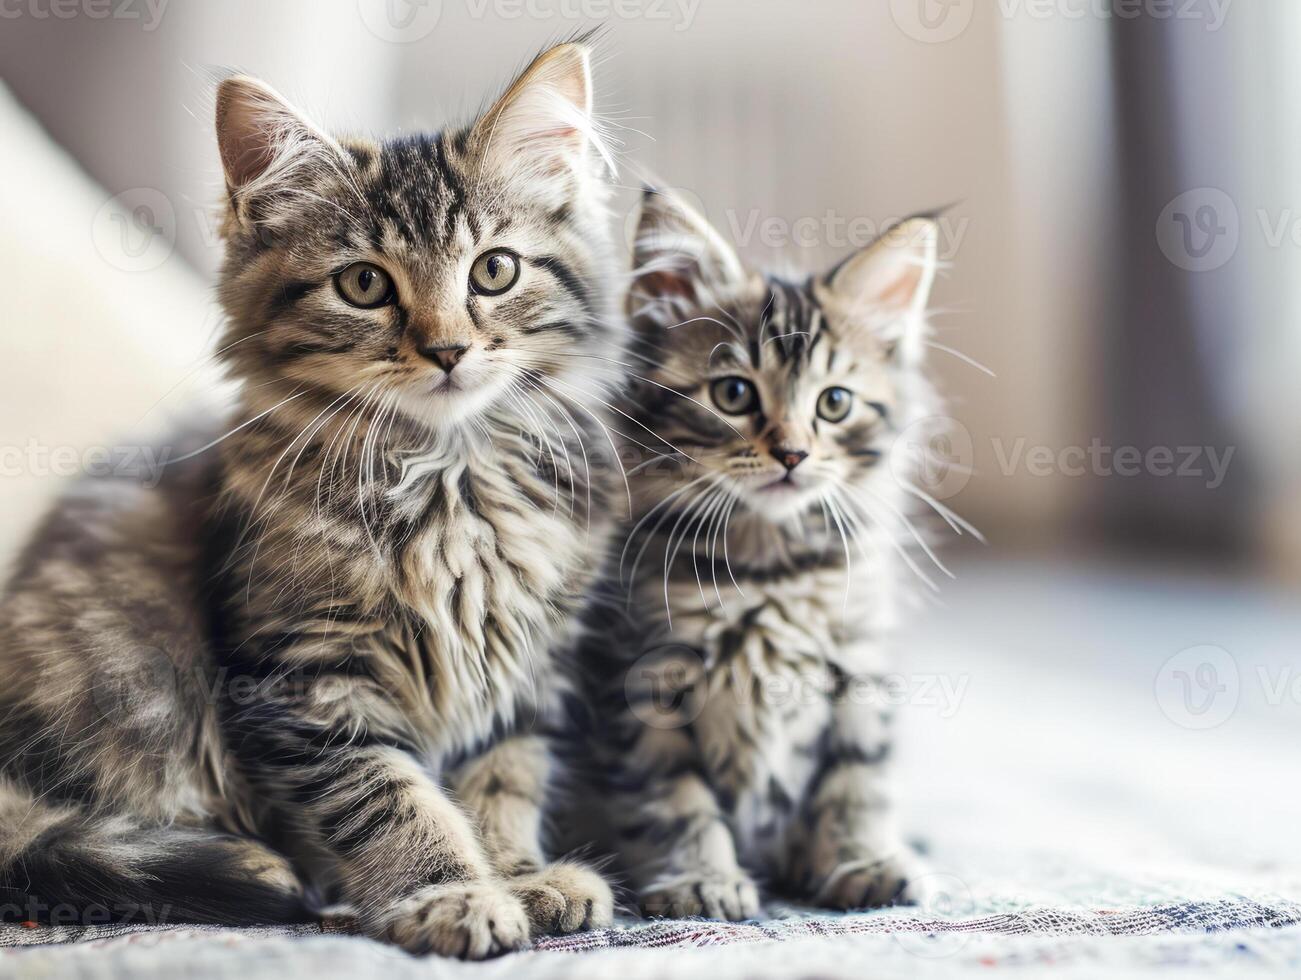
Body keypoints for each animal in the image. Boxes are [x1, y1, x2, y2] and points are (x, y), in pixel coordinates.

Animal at [0, 43, 624, 957]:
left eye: (494, 271)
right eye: (364, 285)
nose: (446, 350)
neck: (449, 480)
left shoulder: (521, 671)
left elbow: (501, 782)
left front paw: (519, 876)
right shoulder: (306, 678)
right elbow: (391, 800)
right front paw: (449, 893)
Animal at [577, 188, 947, 916]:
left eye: (835, 403)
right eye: (733, 393)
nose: (793, 454)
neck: (770, 570)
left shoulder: (856, 672)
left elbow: (855, 782)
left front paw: (862, 860)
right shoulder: (640, 684)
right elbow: (673, 801)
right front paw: (700, 879)